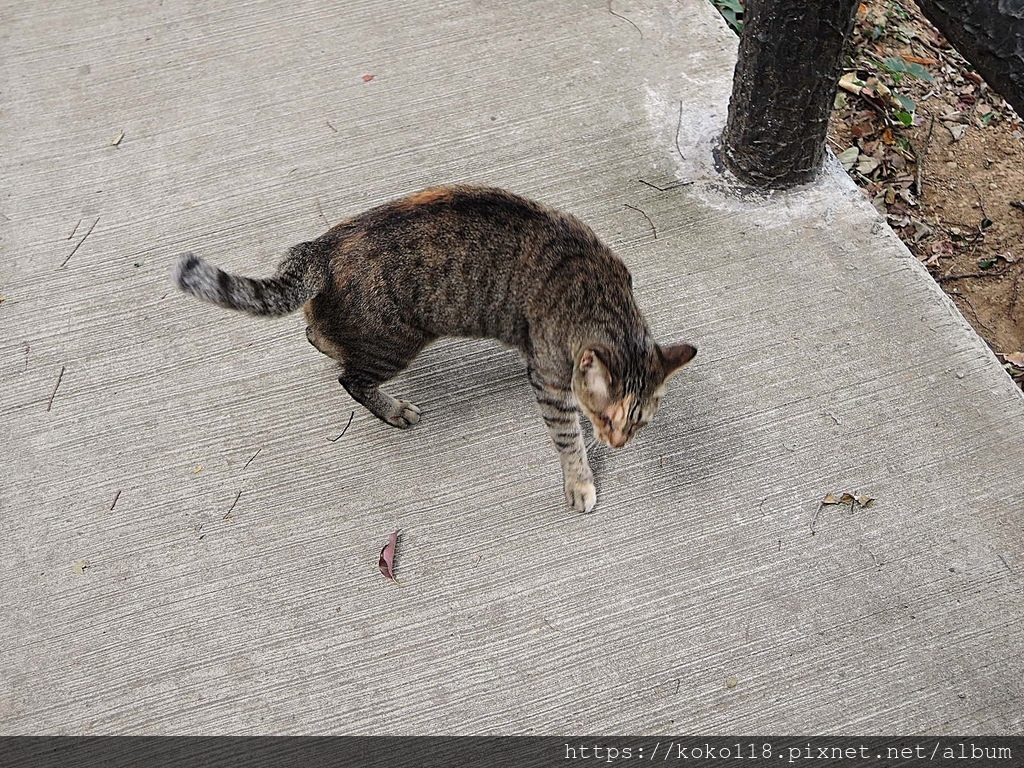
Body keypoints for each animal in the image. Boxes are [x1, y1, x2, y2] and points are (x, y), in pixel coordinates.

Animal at [176, 183, 696, 514]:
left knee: (315, 332)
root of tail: (319, 247)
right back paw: (392, 409)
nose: (619, 442)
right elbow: (568, 439)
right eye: (607, 417)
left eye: (639, 421)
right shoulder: (549, 382)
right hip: (396, 342)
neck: (602, 298)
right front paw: (581, 481)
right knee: (351, 377)